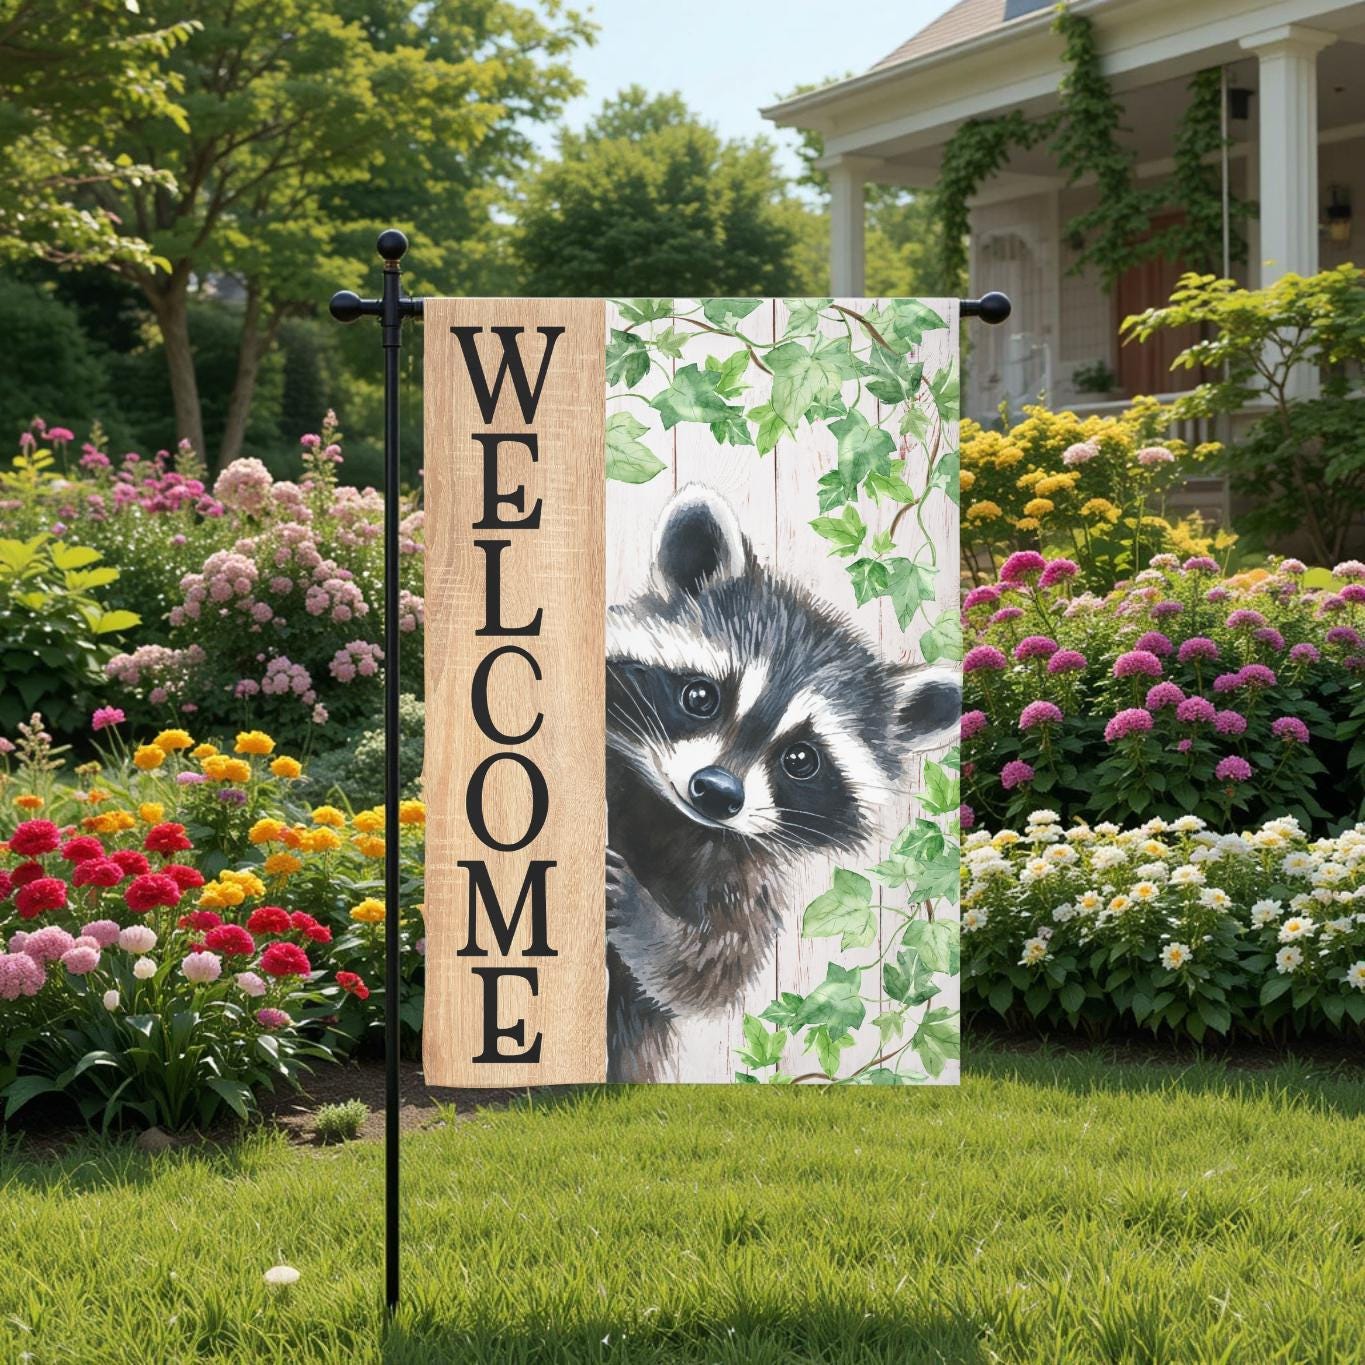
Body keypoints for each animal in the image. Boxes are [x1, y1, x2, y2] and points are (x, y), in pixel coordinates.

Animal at [605, 484, 960, 1082]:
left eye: (800, 759)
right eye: (700, 696)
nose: (717, 791)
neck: (670, 814)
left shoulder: (744, 869)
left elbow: (707, 974)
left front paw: (644, 917)